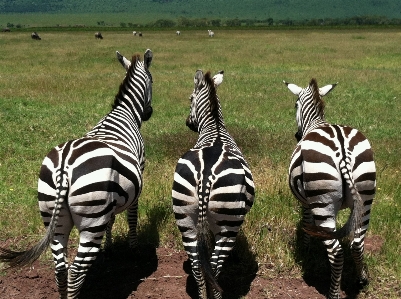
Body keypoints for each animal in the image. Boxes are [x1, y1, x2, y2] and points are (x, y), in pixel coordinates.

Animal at [0, 49, 154, 299]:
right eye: (152, 81)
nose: (149, 113)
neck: (125, 113)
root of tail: (64, 167)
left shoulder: (111, 199)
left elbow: (111, 220)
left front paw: (109, 249)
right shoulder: (138, 176)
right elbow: (132, 217)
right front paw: (133, 250)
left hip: (54, 217)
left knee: (61, 267)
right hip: (91, 220)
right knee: (76, 270)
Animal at [171, 69, 253, 298]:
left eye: (190, 98)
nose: (188, 123)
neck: (215, 127)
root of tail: (206, 173)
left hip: (184, 217)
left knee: (198, 264)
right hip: (229, 224)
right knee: (215, 267)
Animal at [284, 78, 376, 298]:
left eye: (295, 105)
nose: (297, 135)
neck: (314, 123)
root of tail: (343, 150)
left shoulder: (307, 202)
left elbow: (307, 222)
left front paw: (306, 248)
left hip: (322, 203)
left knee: (335, 252)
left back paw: (333, 293)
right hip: (366, 197)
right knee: (357, 243)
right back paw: (361, 279)